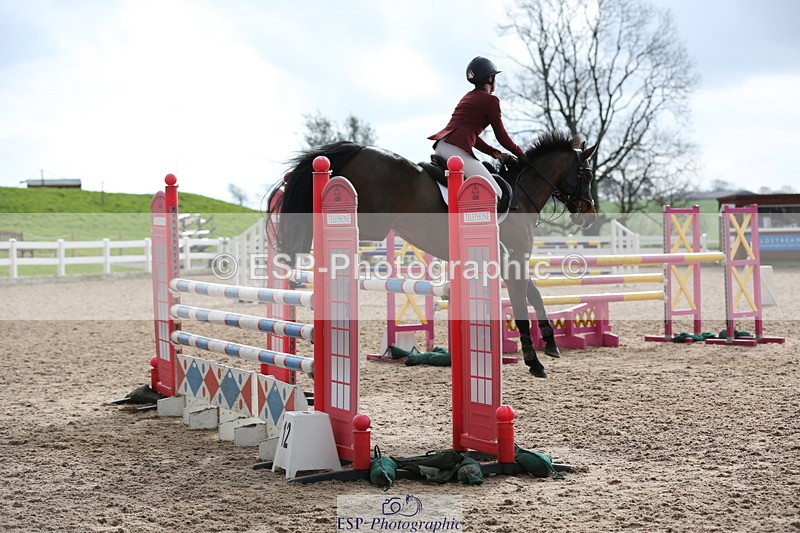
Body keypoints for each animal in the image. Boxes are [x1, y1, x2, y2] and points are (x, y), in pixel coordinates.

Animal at [272, 130, 598, 378]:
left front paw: (551, 345)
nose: (589, 215)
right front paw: (535, 361)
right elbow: (522, 307)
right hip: (373, 221)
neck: (523, 194)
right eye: (586, 174)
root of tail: (359, 149)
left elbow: (536, 296)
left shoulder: (512, 262)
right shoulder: (514, 261)